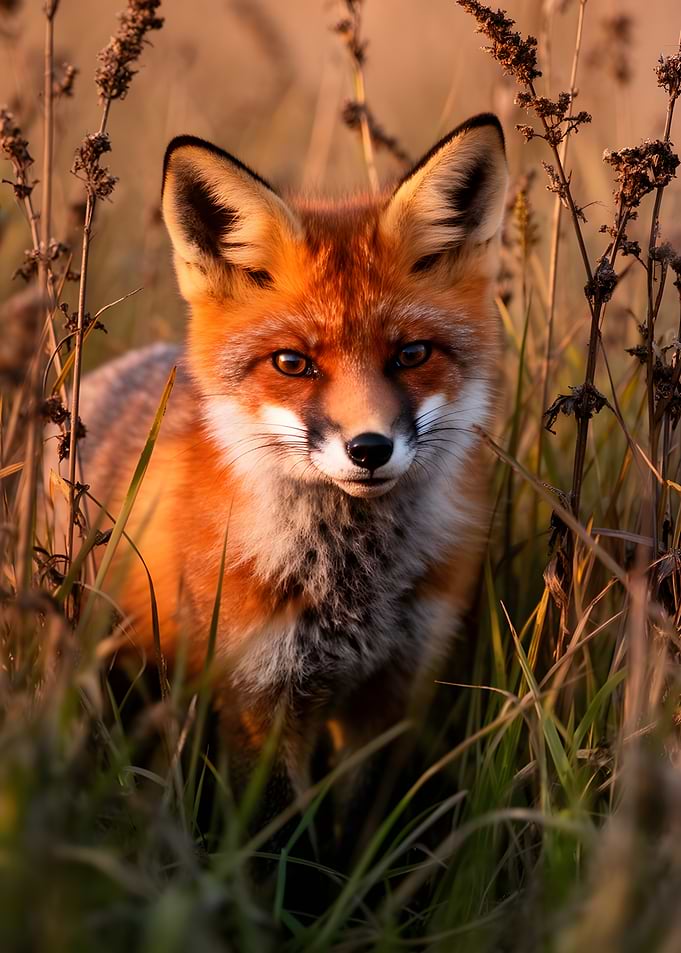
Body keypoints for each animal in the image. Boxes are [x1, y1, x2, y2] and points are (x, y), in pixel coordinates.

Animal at [75, 112, 508, 818]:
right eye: (292, 363)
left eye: (412, 354)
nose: (369, 449)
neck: (353, 587)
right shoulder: (258, 693)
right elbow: (280, 830)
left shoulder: (393, 691)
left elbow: (361, 821)